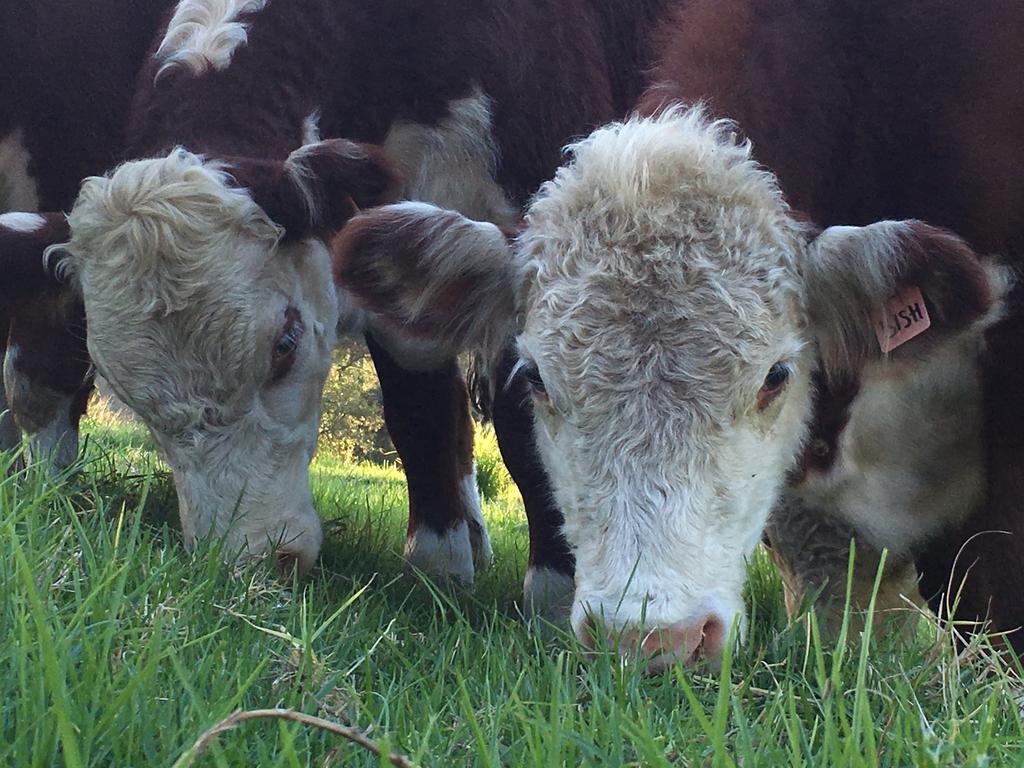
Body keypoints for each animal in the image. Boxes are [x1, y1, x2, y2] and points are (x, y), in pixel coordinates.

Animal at [12, 1, 675, 614]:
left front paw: (555, 594)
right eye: (128, 396)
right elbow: (419, 407)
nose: (258, 560)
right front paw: (438, 566)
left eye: (285, 344)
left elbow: (525, 419)